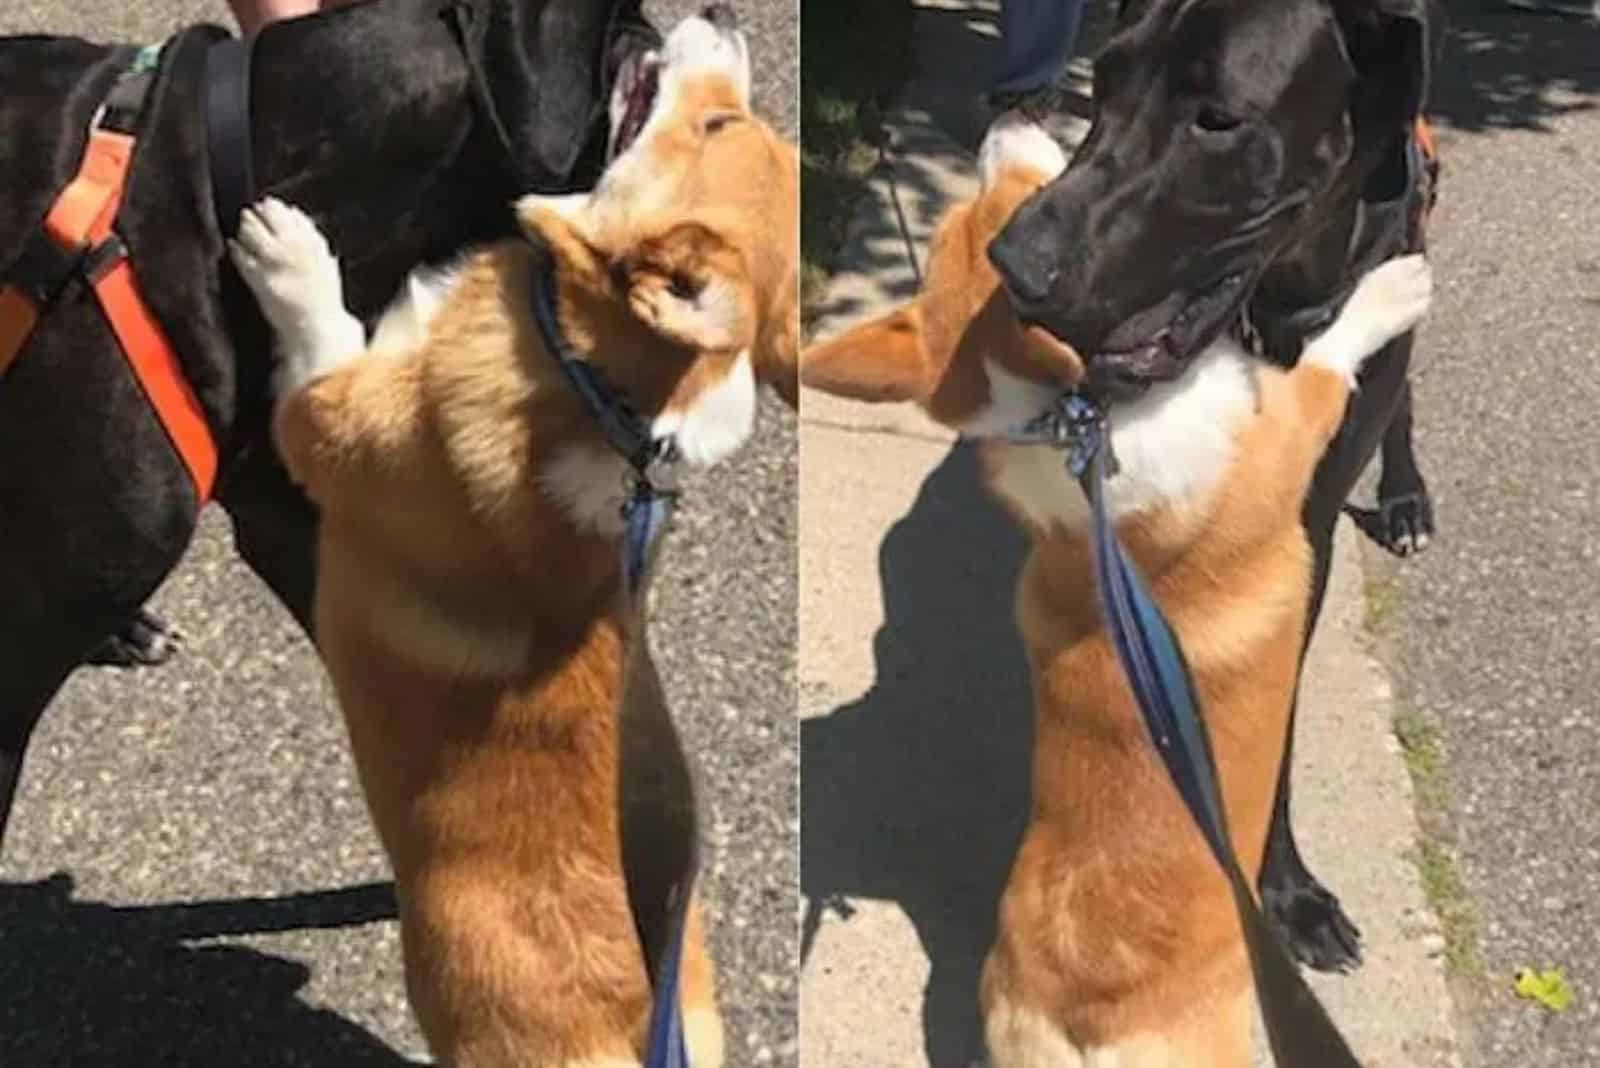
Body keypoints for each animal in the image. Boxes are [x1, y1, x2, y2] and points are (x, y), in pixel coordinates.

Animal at [992, 0, 1446, 972]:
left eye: (1218, 121)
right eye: (1107, 79)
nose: (1014, 263)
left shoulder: (1304, 528)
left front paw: (1285, 891)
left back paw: (1405, 496)